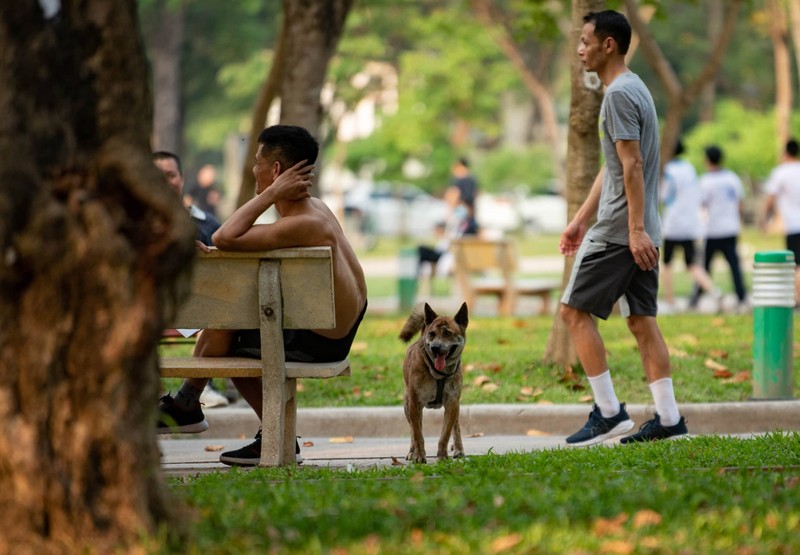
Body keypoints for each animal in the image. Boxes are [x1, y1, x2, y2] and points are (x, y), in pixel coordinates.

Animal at [400, 302, 468, 462]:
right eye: (432, 334)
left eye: (448, 333)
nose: (435, 347)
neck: (438, 374)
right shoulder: (415, 403)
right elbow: (417, 434)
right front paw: (419, 455)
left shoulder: (452, 403)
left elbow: (445, 434)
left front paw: (442, 456)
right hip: (407, 405)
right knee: (412, 430)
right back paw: (412, 451)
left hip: (456, 406)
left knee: (456, 427)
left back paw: (458, 448)